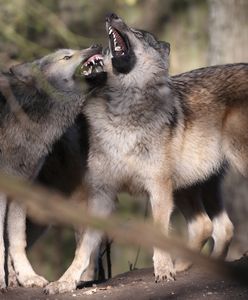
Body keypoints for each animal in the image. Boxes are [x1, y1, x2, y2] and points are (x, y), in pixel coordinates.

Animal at [45, 13, 247, 292]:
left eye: (139, 34)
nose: (112, 15)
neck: (120, 112)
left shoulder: (158, 188)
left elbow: (158, 233)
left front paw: (162, 271)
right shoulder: (102, 194)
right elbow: (84, 248)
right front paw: (65, 281)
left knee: (213, 227)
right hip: (189, 186)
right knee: (214, 227)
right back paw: (191, 266)